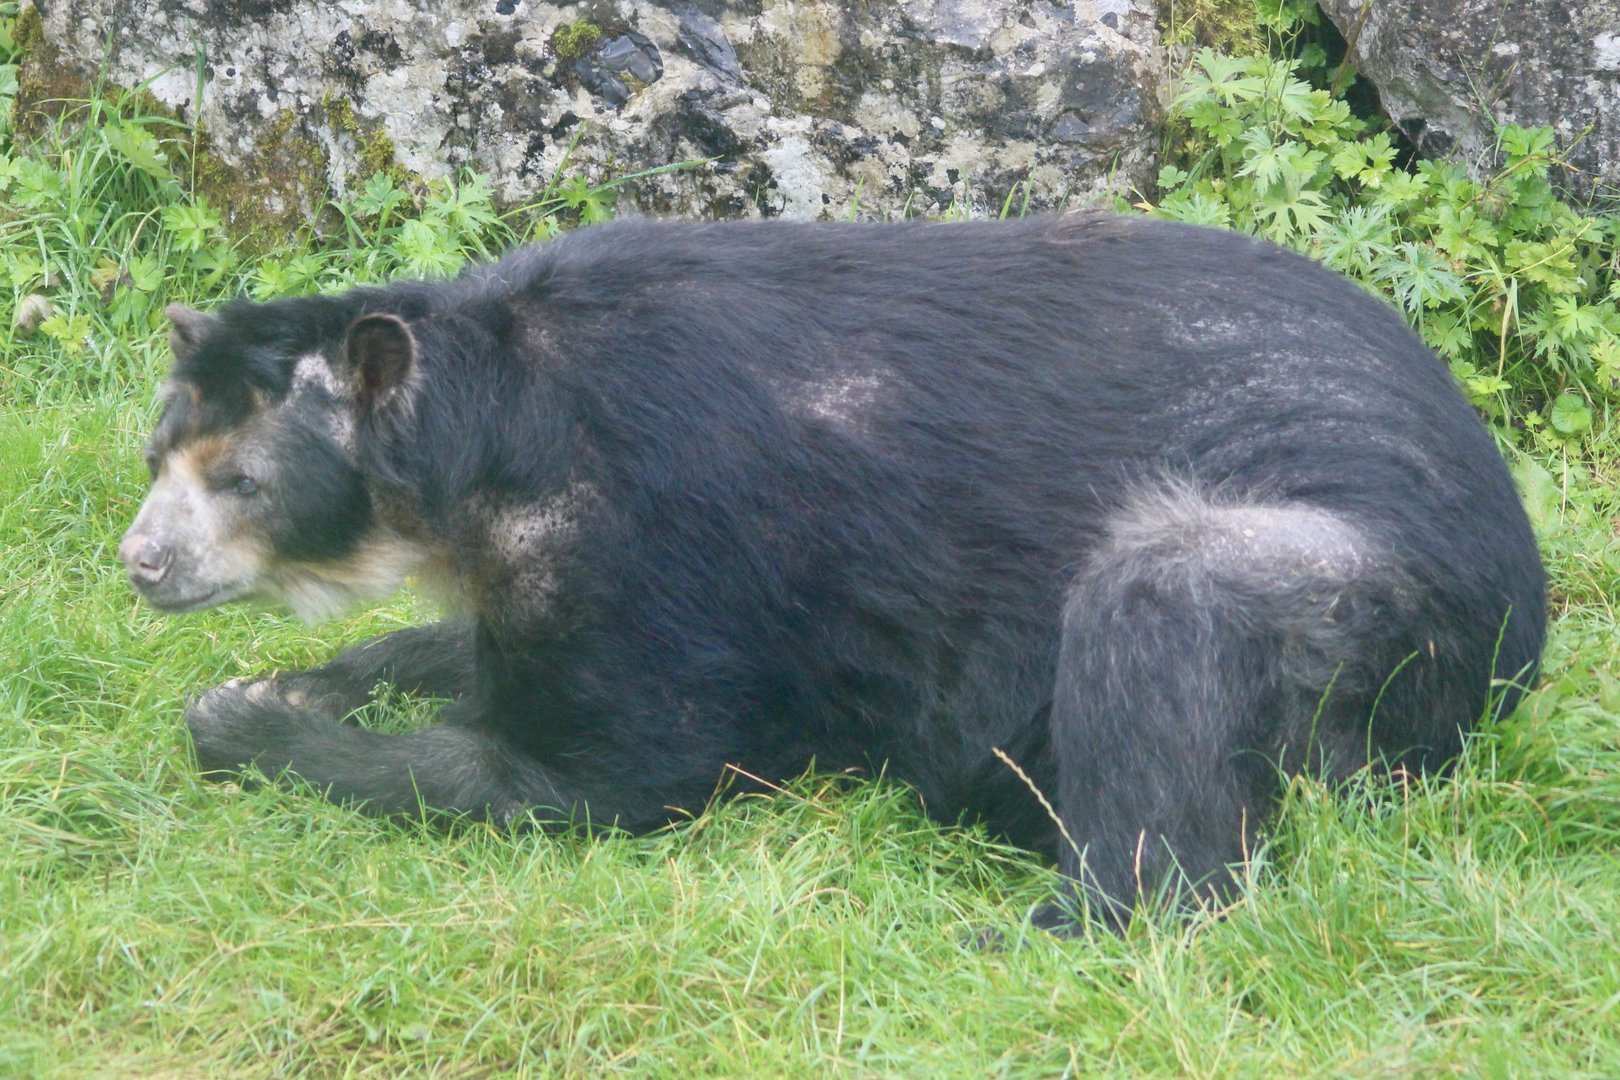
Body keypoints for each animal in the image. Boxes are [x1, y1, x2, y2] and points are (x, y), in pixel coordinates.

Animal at [118, 213, 1546, 931]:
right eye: (155, 455)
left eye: (240, 482)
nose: (140, 562)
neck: (499, 418)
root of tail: (1525, 636)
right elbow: (465, 651)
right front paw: (300, 679)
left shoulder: (659, 529)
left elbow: (598, 772)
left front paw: (240, 721)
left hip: (1370, 600)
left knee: (1166, 628)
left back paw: (1041, 926)